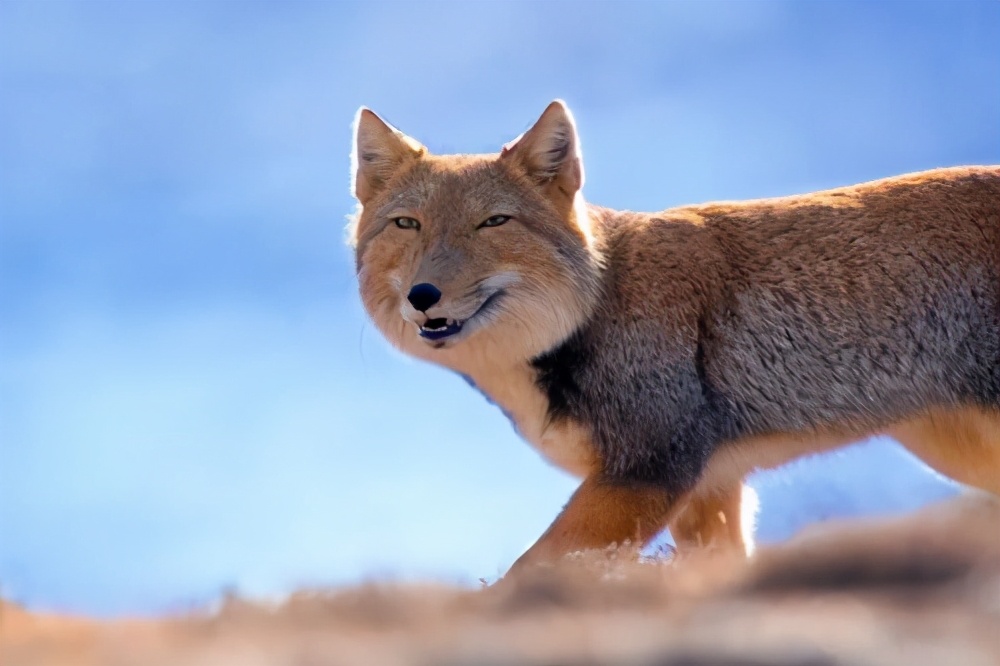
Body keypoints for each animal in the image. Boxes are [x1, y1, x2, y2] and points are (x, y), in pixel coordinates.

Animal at [350, 100, 1000, 572]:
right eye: (406, 224)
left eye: (493, 222)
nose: (424, 295)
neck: (599, 301)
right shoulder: (710, 488)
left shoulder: (651, 469)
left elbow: (526, 572)